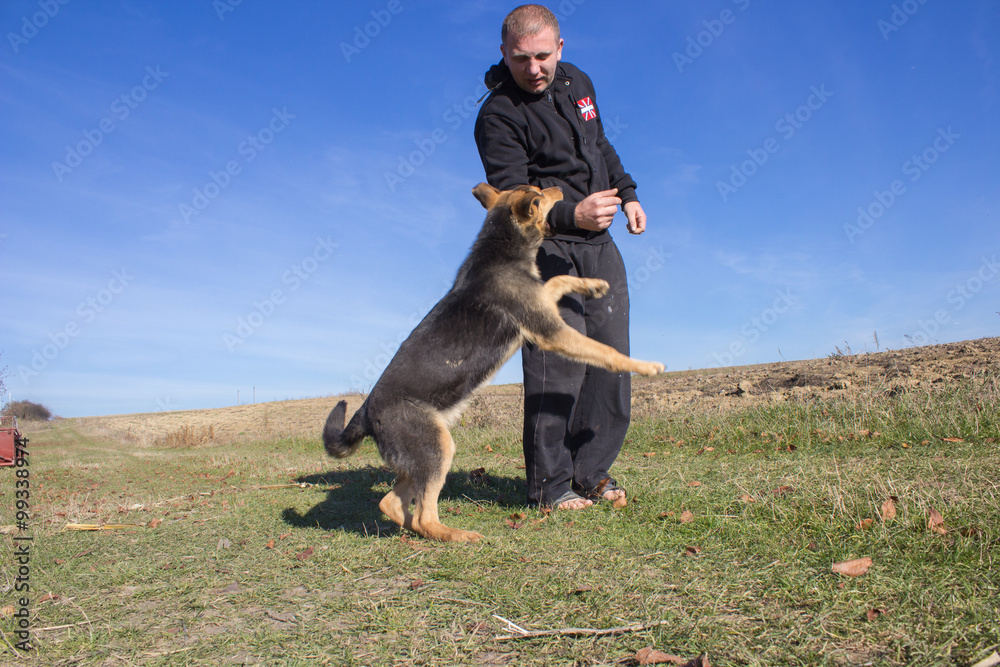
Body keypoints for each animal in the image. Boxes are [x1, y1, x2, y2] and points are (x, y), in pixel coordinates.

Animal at [322, 183, 664, 542]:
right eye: (540, 195)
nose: (558, 186)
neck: (502, 244)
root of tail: (365, 411)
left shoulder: (540, 304)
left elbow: (555, 282)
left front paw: (592, 285)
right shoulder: (551, 332)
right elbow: (604, 350)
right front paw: (645, 366)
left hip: (422, 454)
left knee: (391, 503)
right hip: (437, 448)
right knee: (423, 515)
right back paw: (456, 535)